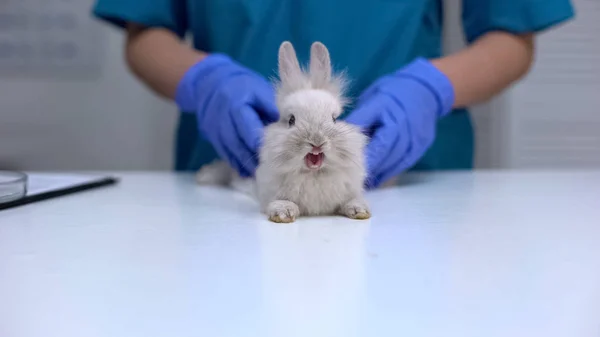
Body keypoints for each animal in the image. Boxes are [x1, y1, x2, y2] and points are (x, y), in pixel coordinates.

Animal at [196, 40, 370, 223]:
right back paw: (203, 176)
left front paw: (359, 211)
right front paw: (283, 213)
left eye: (334, 119)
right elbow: (281, 202)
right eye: (291, 120)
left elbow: (350, 201)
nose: (317, 142)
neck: (314, 175)